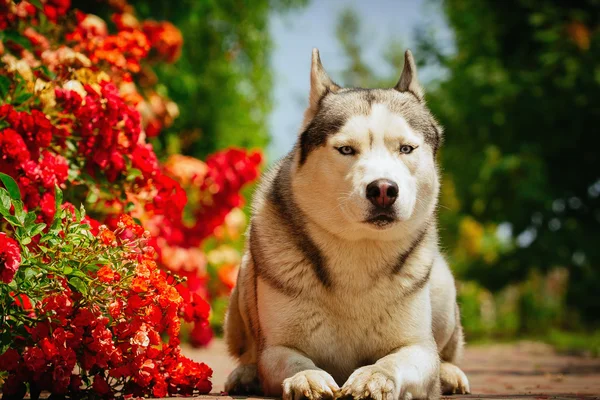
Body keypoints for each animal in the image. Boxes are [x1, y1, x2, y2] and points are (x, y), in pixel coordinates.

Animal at [223, 48, 472, 398]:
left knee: (447, 351)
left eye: (406, 149)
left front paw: (375, 376)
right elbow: (290, 359)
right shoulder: (275, 350)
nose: (383, 189)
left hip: (443, 284)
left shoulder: (418, 348)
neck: (359, 249)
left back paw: (450, 374)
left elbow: (397, 360)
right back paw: (245, 374)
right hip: (246, 274)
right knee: (248, 350)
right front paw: (306, 377)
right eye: (345, 149)